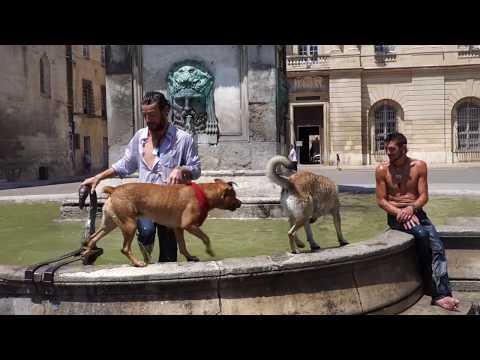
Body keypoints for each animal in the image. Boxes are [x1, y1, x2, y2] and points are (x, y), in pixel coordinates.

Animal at [81, 179, 244, 266]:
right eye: (234, 195)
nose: (241, 203)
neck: (204, 194)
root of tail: (114, 189)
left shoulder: (178, 228)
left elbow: (182, 246)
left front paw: (190, 258)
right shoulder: (189, 225)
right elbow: (206, 237)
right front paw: (209, 251)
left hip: (110, 224)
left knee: (92, 238)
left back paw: (87, 254)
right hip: (130, 225)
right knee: (125, 248)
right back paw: (138, 263)